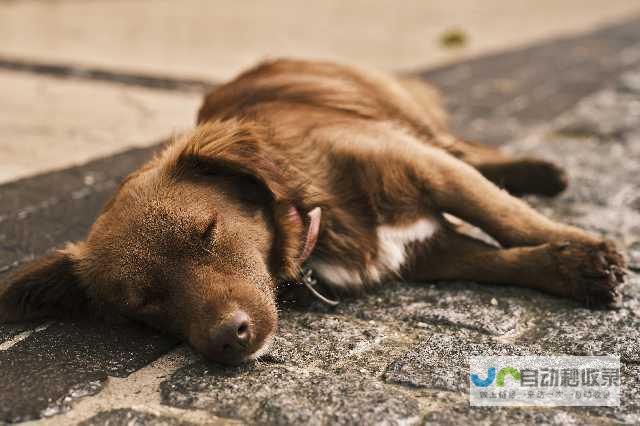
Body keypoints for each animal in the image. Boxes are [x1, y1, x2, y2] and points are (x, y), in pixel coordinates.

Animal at [0, 59, 624, 362]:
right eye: (143, 305)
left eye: (207, 232)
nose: (227, 340)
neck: (312, 210)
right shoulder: (429, 251)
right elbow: (499, 259)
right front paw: (570, 268)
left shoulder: (425, 167)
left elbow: (506, 218)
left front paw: (583, 248)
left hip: (410, 118)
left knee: (468, 149)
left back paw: (537, 171)